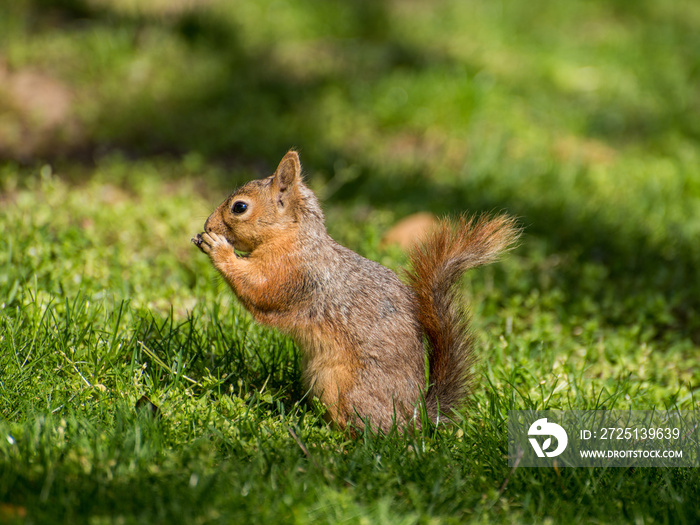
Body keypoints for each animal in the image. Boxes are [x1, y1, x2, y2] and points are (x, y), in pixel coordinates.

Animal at [193, 149, 520, 432]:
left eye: (239, 207)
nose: (207, 225)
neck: (294, 238)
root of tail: (414, 419)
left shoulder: (295, 274)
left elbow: (259, 288)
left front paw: (217, 248)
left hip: (343, 388)